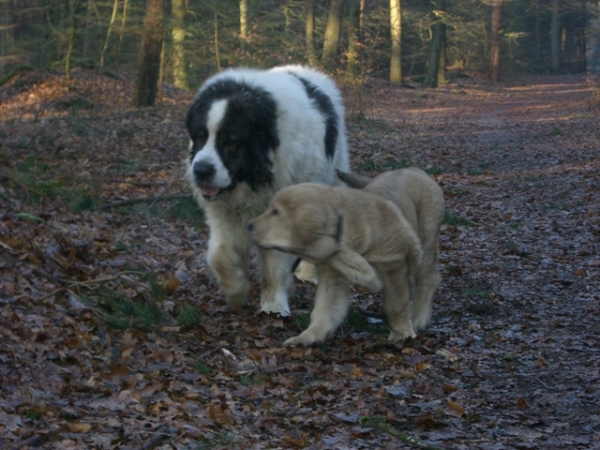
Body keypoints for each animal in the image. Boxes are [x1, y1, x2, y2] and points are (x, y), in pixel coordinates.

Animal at [185, 66, 350, 316]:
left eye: (231, 141)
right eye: (200, 136)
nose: (201, 170)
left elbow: (274, 263)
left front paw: (274, 305)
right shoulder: (226, 216)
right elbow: (219, 255)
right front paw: (236, 290)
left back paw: (309, 271)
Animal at [248, 167, 446, 346]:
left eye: (276, 212)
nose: (249, 225)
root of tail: (415, 170)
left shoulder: (394, 267)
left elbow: (396, 306)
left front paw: (402, 334)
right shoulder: (333, 276)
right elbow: (324, 310)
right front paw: (308, 336)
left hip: (427, 238)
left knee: (429, 278)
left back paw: (419, 317)